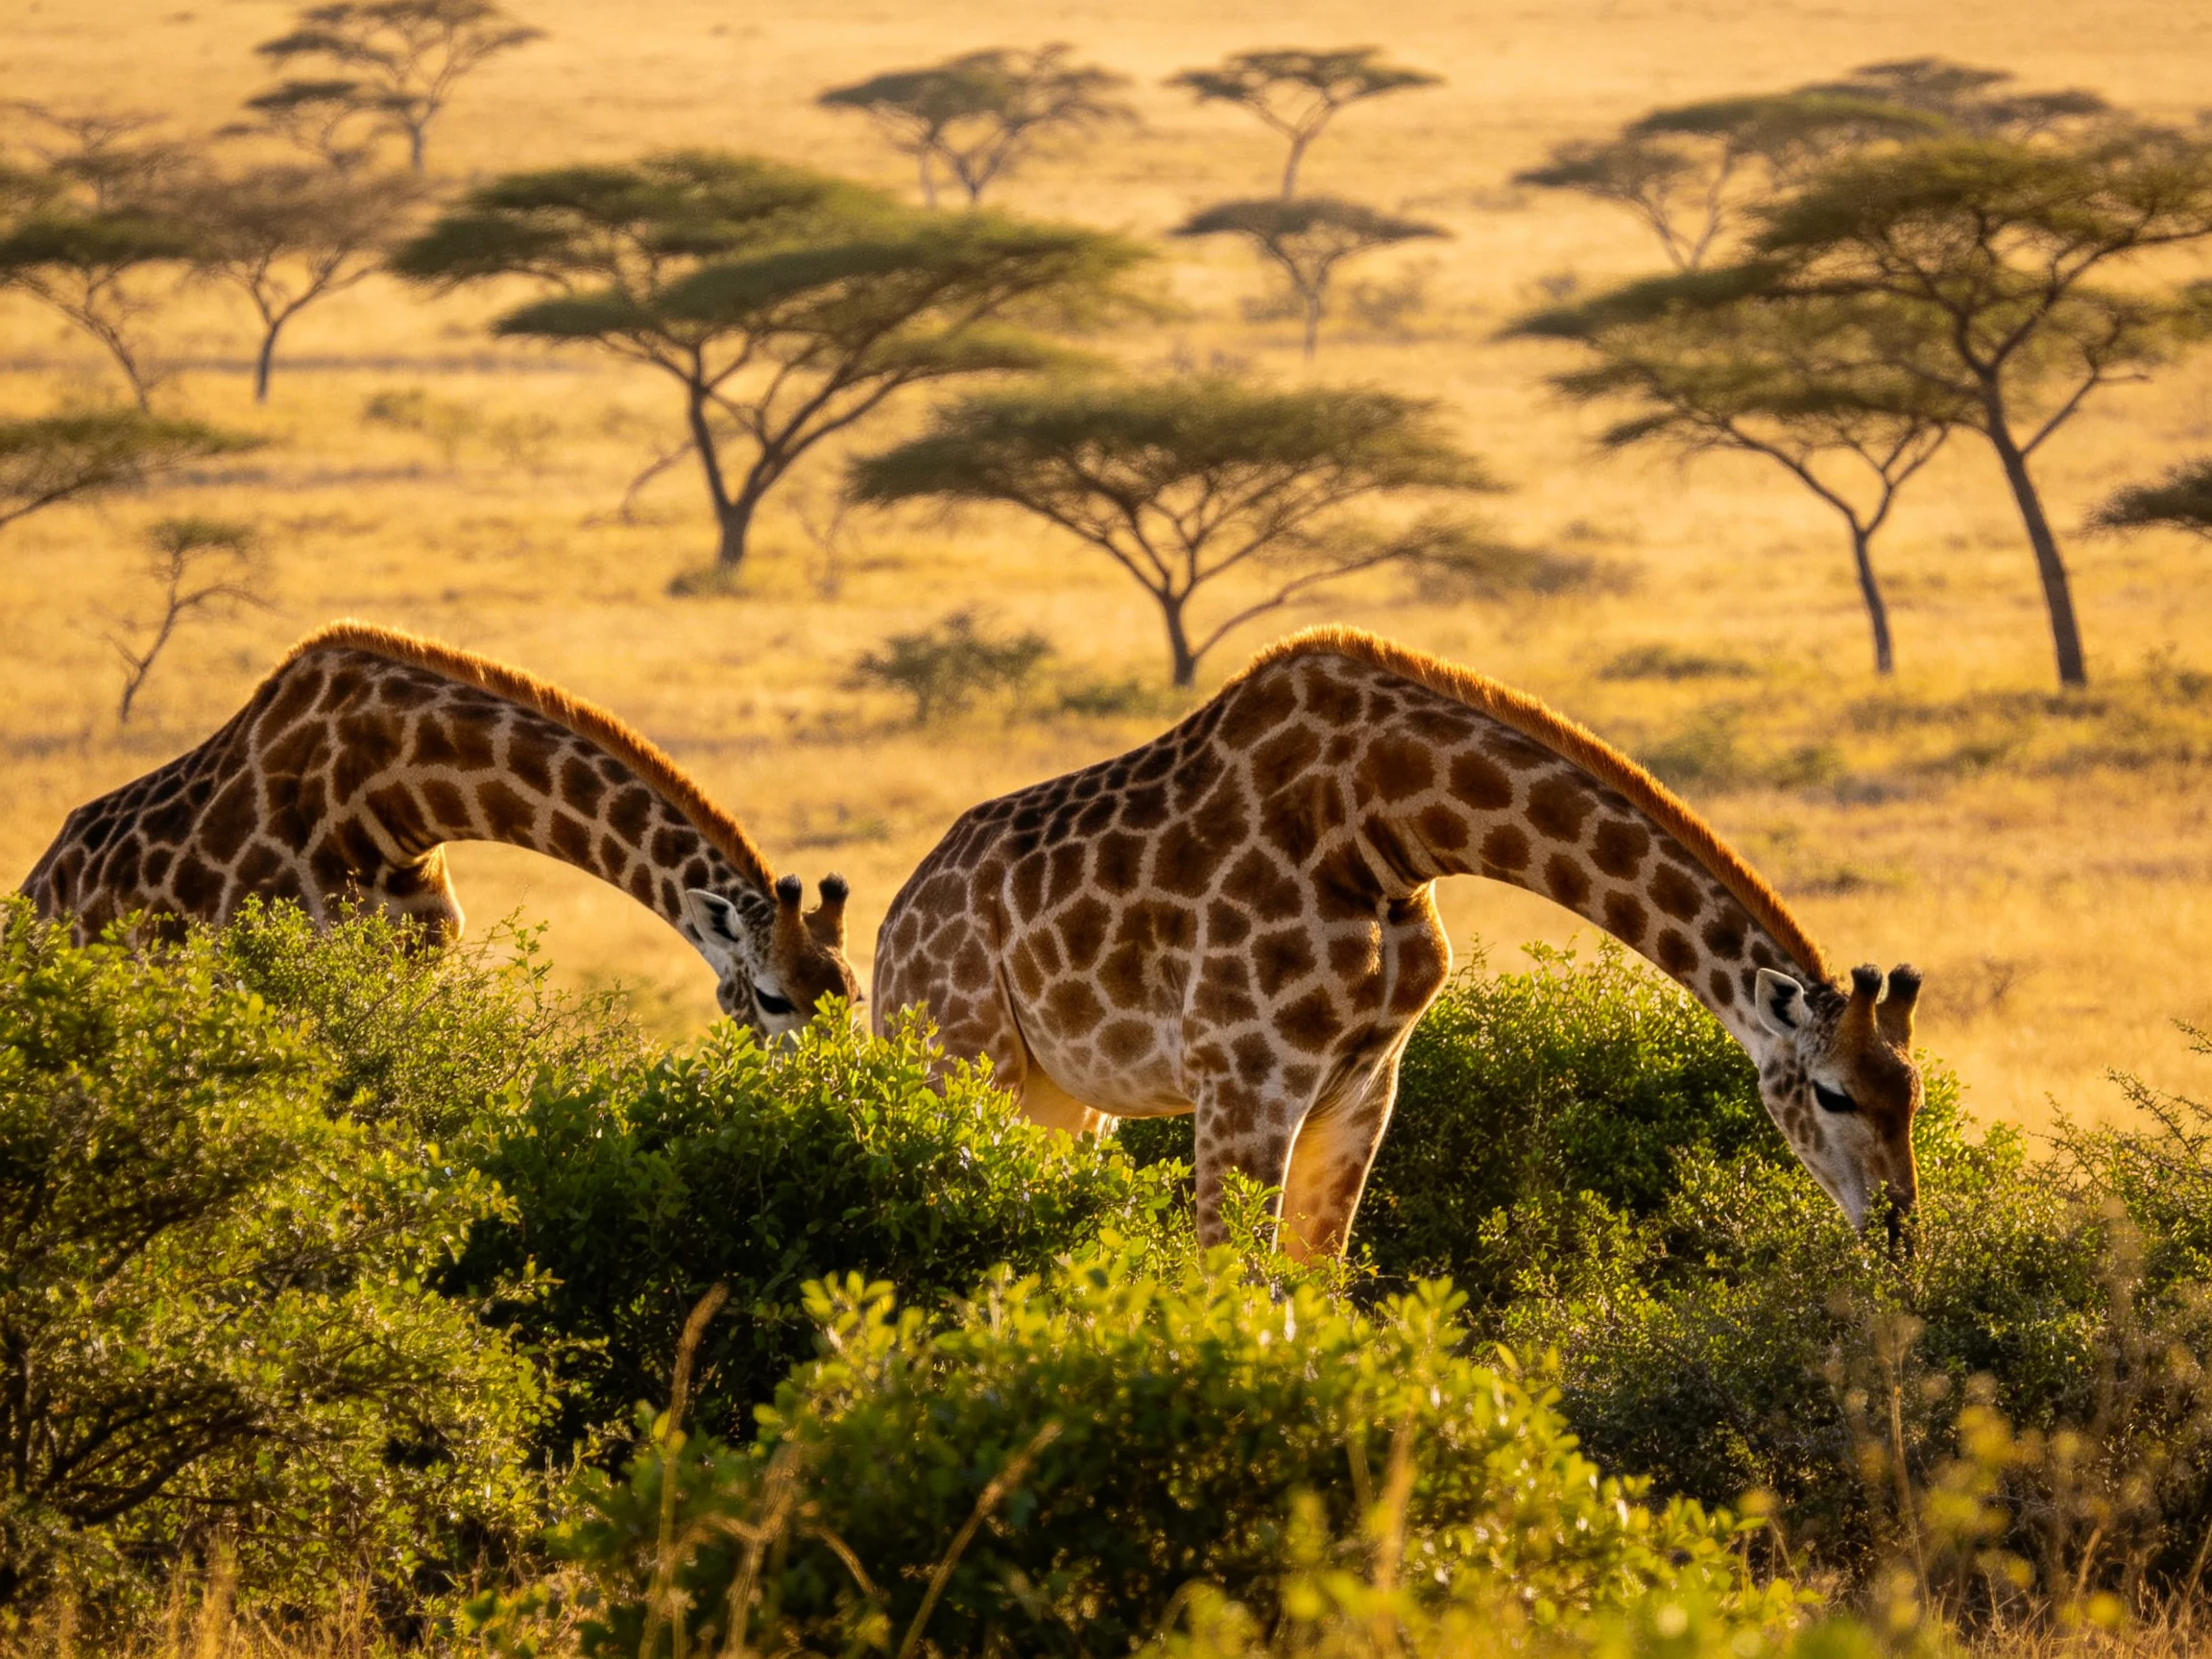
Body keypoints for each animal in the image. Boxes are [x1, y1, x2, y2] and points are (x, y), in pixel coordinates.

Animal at [20, 620, 859, 1038]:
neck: (392, 793)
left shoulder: (412, 971)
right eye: (774, 999)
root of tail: (34, 893)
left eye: (850, 997)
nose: (826, 1096)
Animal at [873, 626, 1922, 1258]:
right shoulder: (1244, 1082)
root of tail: (893, 927)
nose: (1902, 1235)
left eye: (1909, 1095)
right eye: (1831, 1094)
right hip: (961, 1064)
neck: (1388, 828)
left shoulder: (1363, 1086)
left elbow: (1319, 1289)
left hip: (1069, 1104)